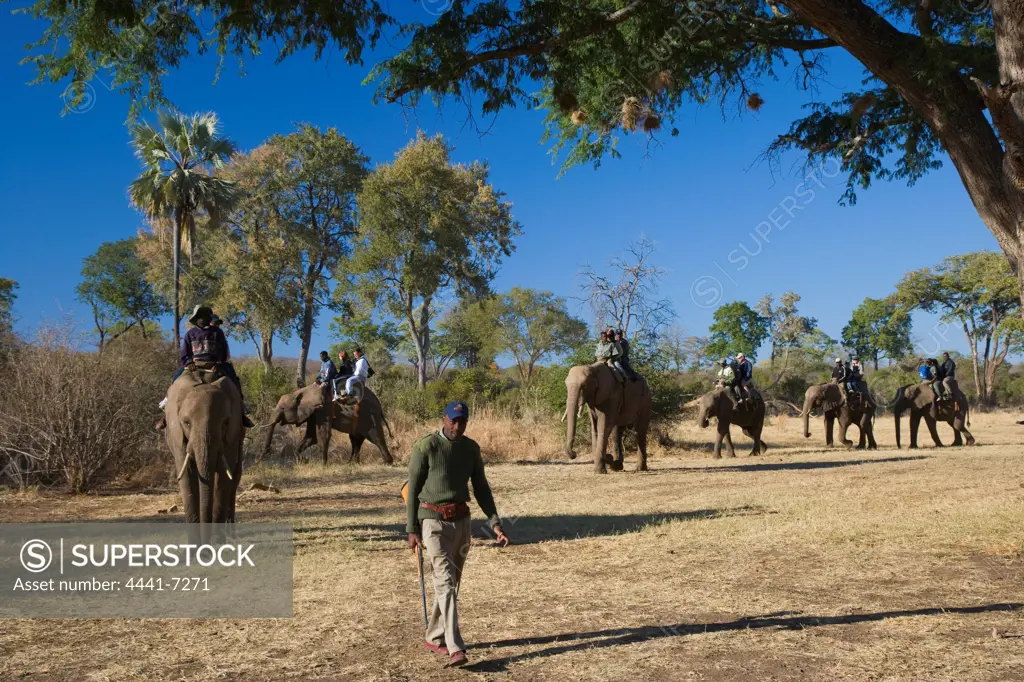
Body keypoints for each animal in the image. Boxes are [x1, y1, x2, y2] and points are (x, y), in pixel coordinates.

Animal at [163, 364, 243, 532]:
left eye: (225, 423)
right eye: (186, 423)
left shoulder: (231, 433)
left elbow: (223, 476)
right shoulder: (177, 435)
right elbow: (187, 476)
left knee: (235, 474)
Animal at [262, 378, 393, 464]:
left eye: (282, 409)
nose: (268, 452)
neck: (305, 391)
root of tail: (379, 406)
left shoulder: (323, 410)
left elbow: (323, 435)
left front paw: (323, 464)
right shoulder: (313, 413)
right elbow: (311, 438)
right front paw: (300, 459)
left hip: (370, 417)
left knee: (376, 438)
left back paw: (388, 462)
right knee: (355, 440)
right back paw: (352, 463)